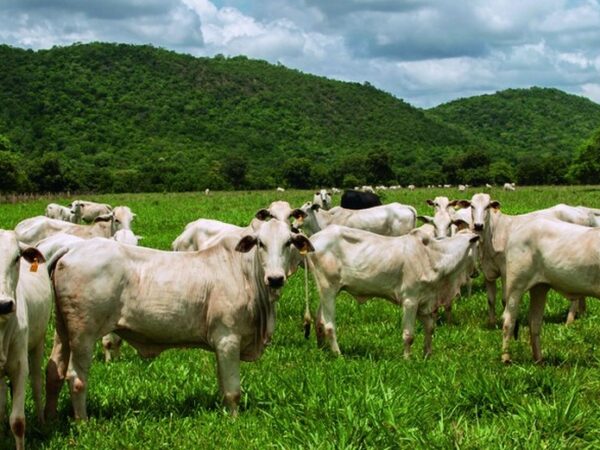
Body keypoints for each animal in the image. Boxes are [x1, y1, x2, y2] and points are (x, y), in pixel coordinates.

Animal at [454, 192, 600, 326]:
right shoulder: (487, 270)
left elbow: (505, 299)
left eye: (488, 206)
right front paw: (492, 323)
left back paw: (569, 320)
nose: (478, 225)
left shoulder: (506, 271)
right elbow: (490, 299)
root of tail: (581, 210)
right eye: (472, 206)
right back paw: (580, 314)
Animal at [502, 220, 600, 364]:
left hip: (540, 287)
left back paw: (539, 360)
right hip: (515, 285)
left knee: (534, 322)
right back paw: (506, 358)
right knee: (509, 320)